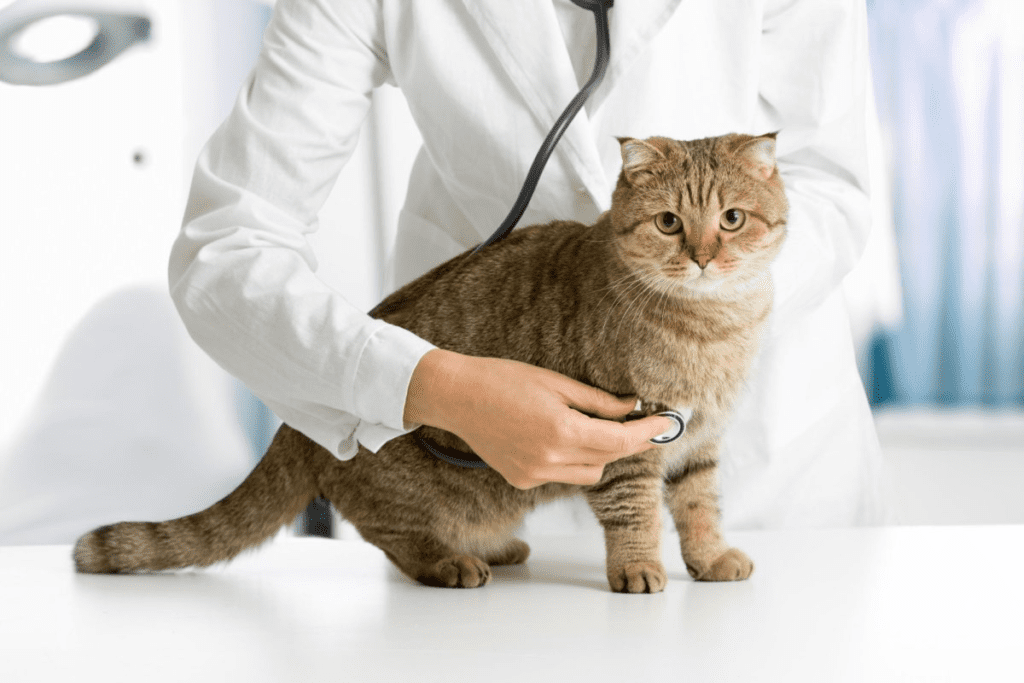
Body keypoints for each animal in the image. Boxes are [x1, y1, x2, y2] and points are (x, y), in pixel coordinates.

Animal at [74, 133, 790, 593]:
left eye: (731, 219)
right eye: (669, 223)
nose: (703, 256)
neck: (713, 329)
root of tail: (298, 427)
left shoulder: (700, 444)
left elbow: (699, 506)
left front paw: (710, 558)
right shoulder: (628, 444)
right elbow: (636, 515)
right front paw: (640, 569)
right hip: (415, 490)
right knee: (391, 536)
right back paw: (449, 563)